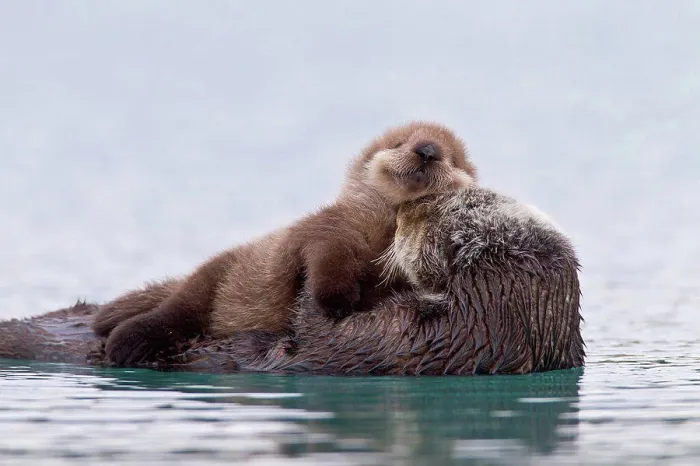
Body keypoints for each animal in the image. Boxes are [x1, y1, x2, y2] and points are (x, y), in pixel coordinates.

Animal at [92, 121, 477, 366]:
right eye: (399, 143)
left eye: (452, 158)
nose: (427, 150)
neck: (385, 229)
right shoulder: (330, 228)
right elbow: (325, 258)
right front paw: (337, 301)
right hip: (210, 278)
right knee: (175, 311)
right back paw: (127, 341)